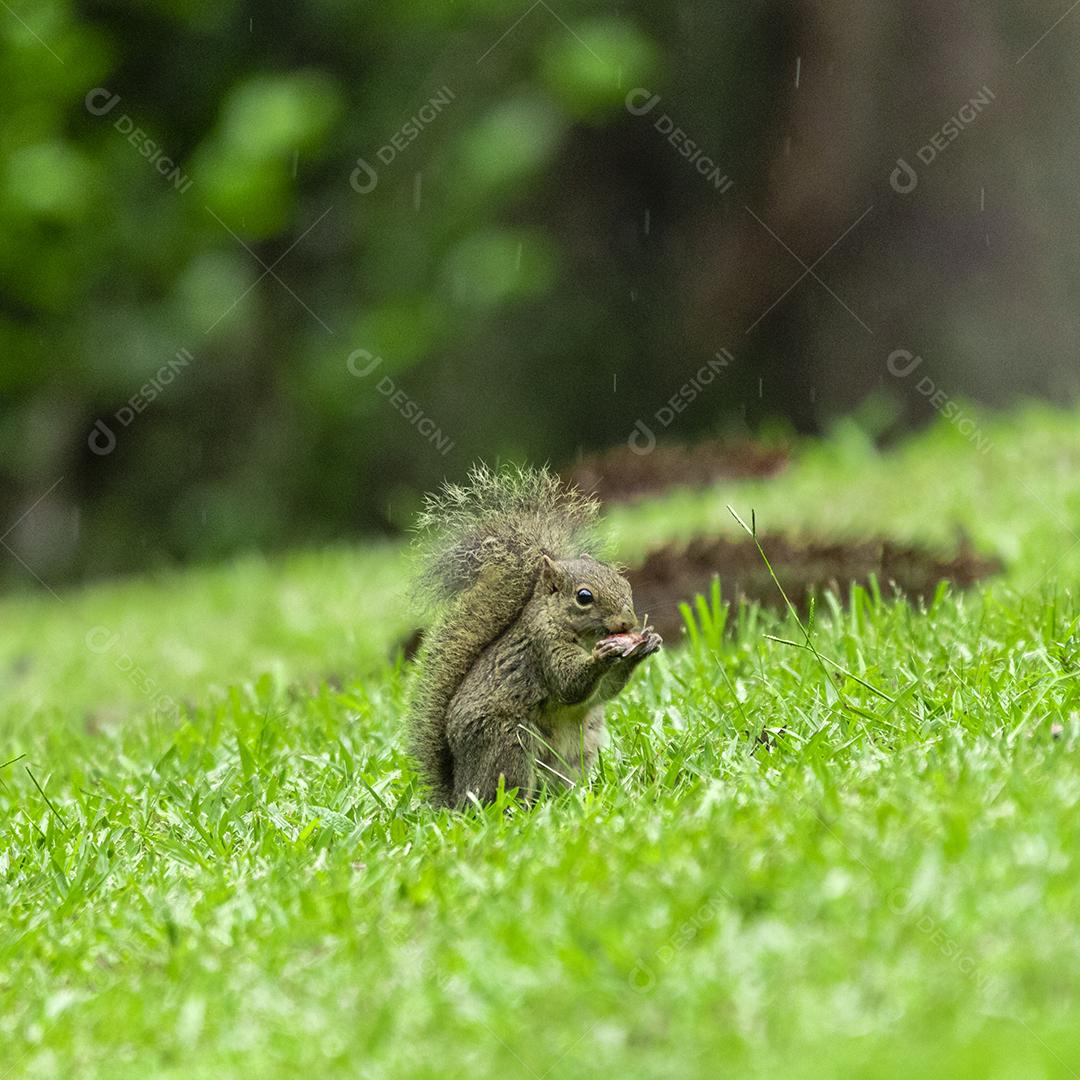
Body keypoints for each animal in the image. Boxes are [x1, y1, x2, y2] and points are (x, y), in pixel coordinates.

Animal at [403, 464, 656, 812]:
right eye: (584, 596)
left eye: (625, 584)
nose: (628, 622)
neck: (582, 636)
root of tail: (459, 795)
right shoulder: (542, 647)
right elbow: (569, 684)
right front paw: (601, 657)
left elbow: (605, 691)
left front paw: (646, 644)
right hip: (509, 744)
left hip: (580, 747)